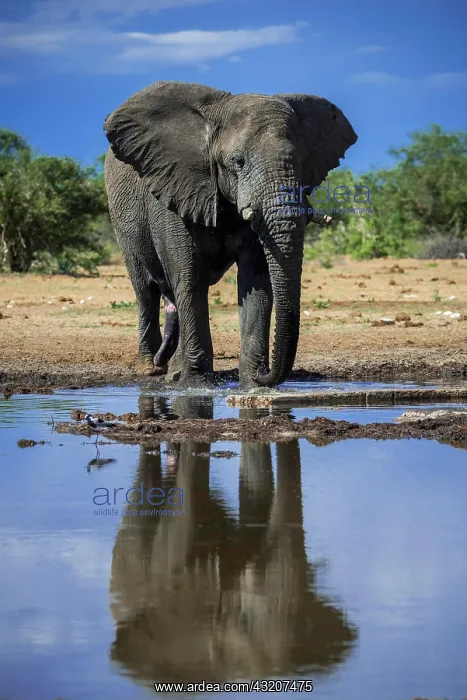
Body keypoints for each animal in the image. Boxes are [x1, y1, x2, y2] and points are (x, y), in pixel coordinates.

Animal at [104, 81, 357, 388]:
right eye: (238, 162)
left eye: (302, 162)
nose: (265, 373)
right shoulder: (173, 189)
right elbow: (190, 277)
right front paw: (196, 386)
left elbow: (256, 279)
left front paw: (252, 385)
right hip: (122, 219)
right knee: (146, 289)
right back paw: (151, 369)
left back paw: (172, 371)